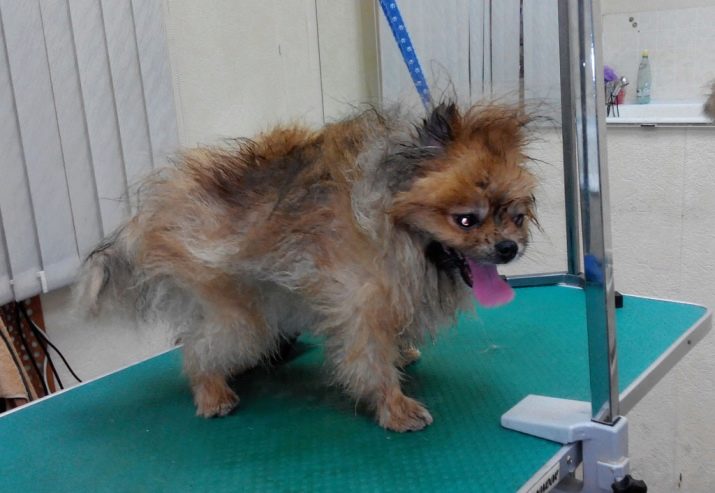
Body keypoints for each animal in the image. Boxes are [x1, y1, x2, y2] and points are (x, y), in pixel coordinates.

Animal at [75, 101, 537, 432]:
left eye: (516, 215)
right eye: (466, 220)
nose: (508, 247)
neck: (391, 226)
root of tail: (151, 212)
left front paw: (401, 354)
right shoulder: (360, 306)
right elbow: (370, 361)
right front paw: (394, 407)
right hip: (240, 312)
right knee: (198, 349)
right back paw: (211, 391)